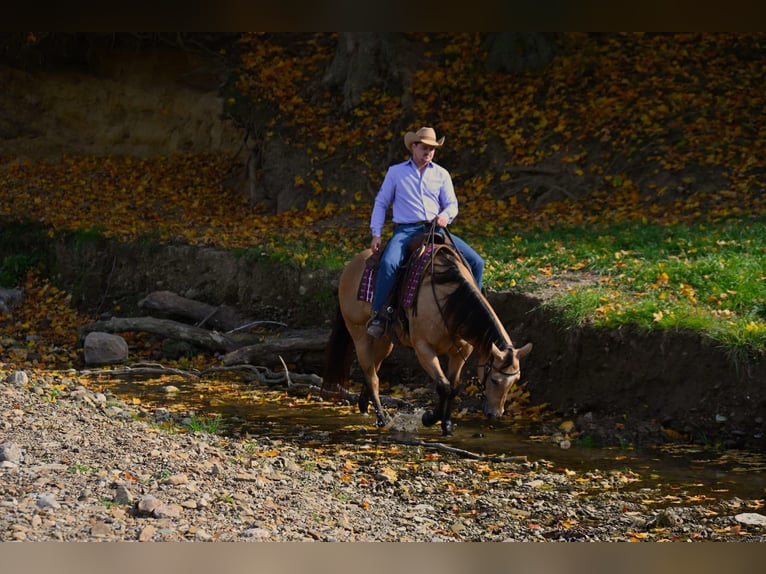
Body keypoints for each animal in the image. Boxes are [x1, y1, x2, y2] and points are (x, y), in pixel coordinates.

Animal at [320, 230, 532, 436]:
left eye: (515, 381)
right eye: (495, 380)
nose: (495, 414)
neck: (449, 302)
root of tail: (350, 266)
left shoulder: (460, 353)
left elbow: (453, 387)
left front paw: (446, 425)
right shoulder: (424, 349)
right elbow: (443, 386)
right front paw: (429, 418)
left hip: (385, 341)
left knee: (373, 369)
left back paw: (365, 404)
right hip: (359, 335)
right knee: (372, 378)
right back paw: (382, 419)